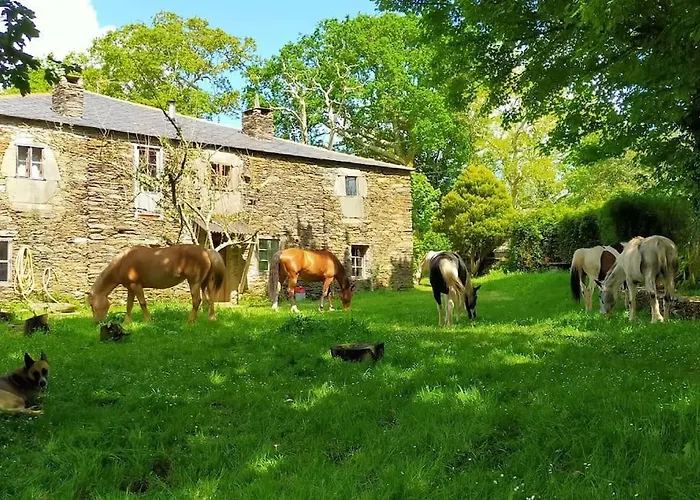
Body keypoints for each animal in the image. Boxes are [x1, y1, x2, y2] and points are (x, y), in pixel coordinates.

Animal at [87, 244, 226, 324]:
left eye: (92, 305)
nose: (97, 322)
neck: (122, 262)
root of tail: (206, 250)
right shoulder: (130, 288)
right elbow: (129, 305)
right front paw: (127, 322)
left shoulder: (136, 286)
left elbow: (142, 303)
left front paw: (148, 321)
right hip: (204, 283)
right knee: (209, 299)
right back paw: (211, 318)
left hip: (194, 282)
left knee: (197, 300)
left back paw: (190, 321)